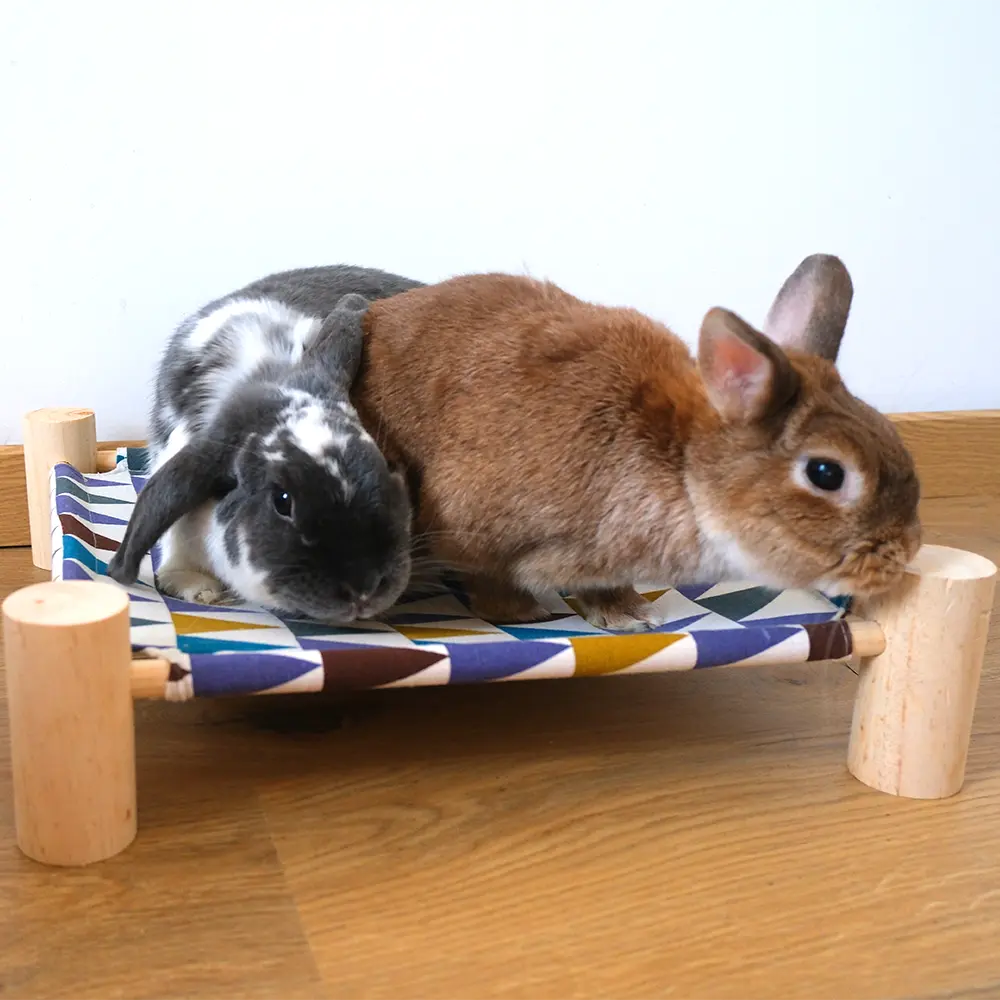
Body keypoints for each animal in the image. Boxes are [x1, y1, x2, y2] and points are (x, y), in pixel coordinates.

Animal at [351, 255, 922, 631]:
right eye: (827, 473)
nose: (907, 550)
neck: (684, 466)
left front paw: (628, 616)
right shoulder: (473, 528)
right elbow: (491, 578)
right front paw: (525, 614)